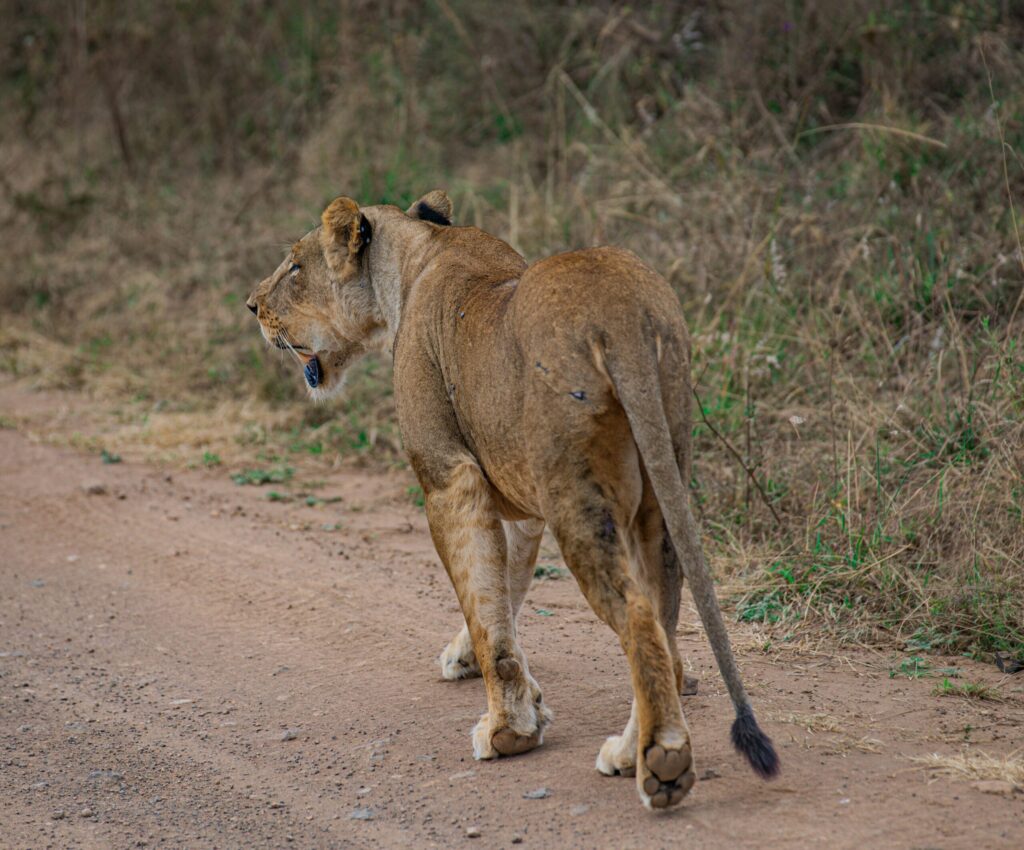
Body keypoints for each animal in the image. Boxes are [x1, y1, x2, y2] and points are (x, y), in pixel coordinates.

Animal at [246, 190, 779, 809]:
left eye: (295, 267)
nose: (252, 306)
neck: (413, 258)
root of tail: (624, 312)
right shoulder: (521, 505)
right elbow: (506, 588)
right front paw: (497, 679)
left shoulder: (448, 478)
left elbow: (482, 603)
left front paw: (508, 730)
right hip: (658, 482)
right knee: (664, 620)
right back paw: (629, 750)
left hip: (578, 500)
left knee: (639, 617)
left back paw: (662, 763)